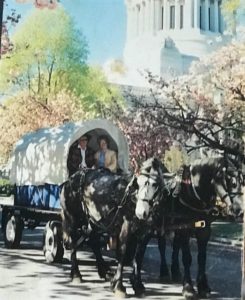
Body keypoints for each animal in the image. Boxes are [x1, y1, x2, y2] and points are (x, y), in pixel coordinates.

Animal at [59, 168, 136, 296]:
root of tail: (68, 181)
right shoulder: (127, 225)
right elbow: (123, 252)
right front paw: (120, 287)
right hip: (72, 219)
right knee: (73, 242)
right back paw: (76, 274)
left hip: (93, 221)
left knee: (93, 242)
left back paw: (104, 271)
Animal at [134, 158, 243, 298]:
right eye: (231, 181)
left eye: (242, 180)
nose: (239, 211)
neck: (193, 193)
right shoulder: (185, 229)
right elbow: (187, 258)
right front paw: (188, 288)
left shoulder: (204, 230)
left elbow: (201, 258)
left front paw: (203, 287)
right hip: (148, 225)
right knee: (140, 249)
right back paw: (137, 284)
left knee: (164, 245)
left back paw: (167, 272)